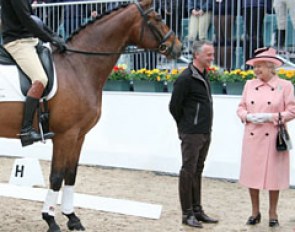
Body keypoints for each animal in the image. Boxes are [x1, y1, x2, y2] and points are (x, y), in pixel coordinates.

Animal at [0, 0, 183, 231]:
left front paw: (72, 217)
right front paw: (50, 219)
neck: (78, 66)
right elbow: (56, 177)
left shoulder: (79, 135)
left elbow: (70, 175)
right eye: (158, 18)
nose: (179, 47)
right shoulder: (65, 136)